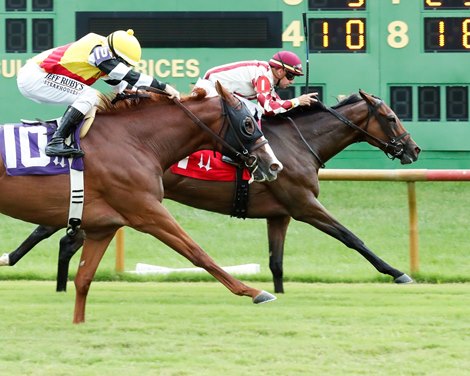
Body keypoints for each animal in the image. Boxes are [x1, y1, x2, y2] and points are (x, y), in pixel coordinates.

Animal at [0, 83, 282, 324]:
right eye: (248, 124)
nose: (273, 165)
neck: (134, 140)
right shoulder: (147, 212)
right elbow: (197, 253)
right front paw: (254, 291)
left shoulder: (103, 228)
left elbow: (83, 278)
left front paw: (78, 323)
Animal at [1, 89, 420, 294]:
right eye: (391, 118)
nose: (414, 149)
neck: (297, 143)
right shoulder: (303, 203)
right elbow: (352, 237)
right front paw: (398, 273)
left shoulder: (280, 213)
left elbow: (276, 261)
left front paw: (277, 291)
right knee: (56, 234)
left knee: (60, 235)